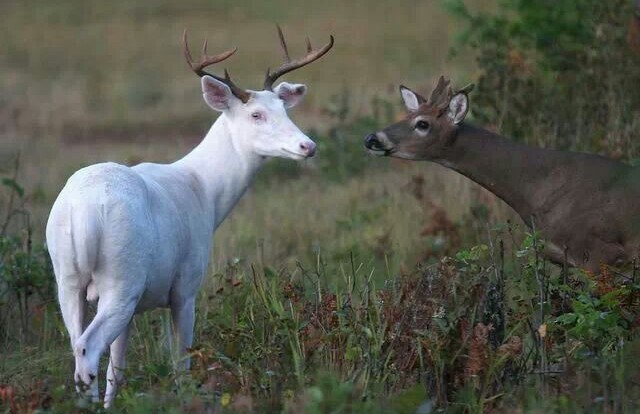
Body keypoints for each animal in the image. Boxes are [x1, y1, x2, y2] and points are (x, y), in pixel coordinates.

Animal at [45, 26, 336, 408]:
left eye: (285, 109)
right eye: (256, 115)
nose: (308, 146)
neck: (204, 192)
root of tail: (84, 212)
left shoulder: (139, 305)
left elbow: (117, 369)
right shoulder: (185, 286)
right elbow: (180, 365)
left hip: (68, 277)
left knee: (78, 349)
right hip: (123, 277)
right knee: (87, 348)